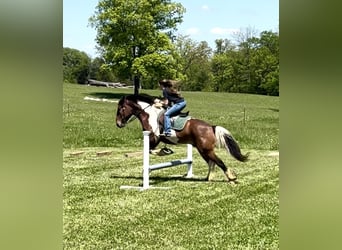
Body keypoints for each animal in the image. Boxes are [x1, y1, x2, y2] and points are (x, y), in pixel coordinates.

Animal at [115, 94, 248, 182]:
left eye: (121, 108)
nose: (118, 124)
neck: (149, 115)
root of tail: (211, 127)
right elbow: (150, 150)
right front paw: (165, 151)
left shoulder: (153, 138)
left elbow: (150, 150)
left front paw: (164, 152)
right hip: (202, 150)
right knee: (212, 162)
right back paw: (209, 178)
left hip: (206, 150)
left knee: (219, 161)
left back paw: (231, 178)